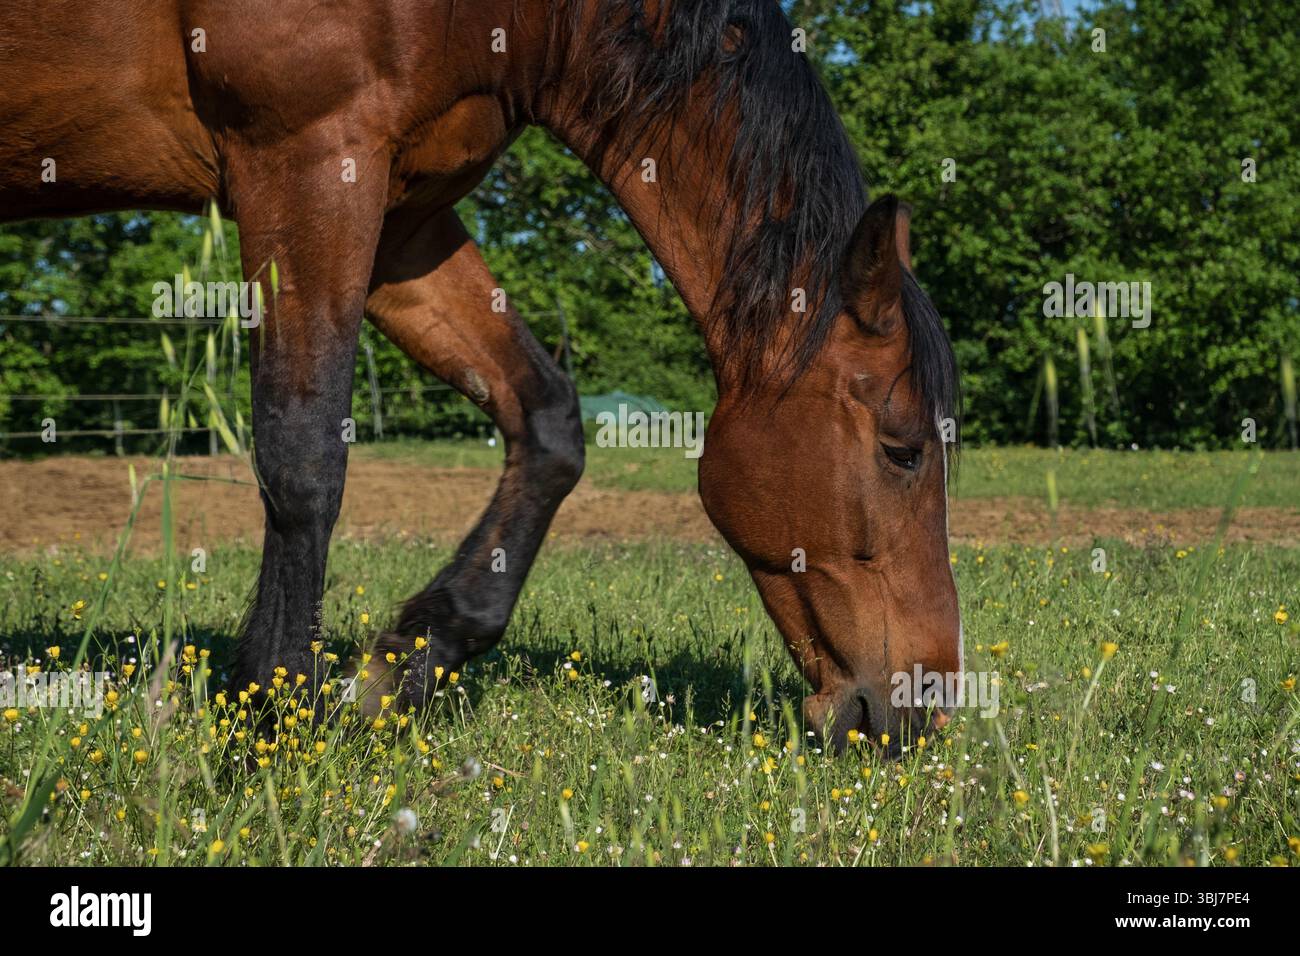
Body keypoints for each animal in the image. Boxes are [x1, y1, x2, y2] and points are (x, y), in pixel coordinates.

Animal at [0, 0, 962, 752]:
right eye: (903, 450)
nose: (926, 709)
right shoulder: (308, 161)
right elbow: (303, 449)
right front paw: (276, 710)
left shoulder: (403, 218)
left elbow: (548, 424)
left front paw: (406, 665)